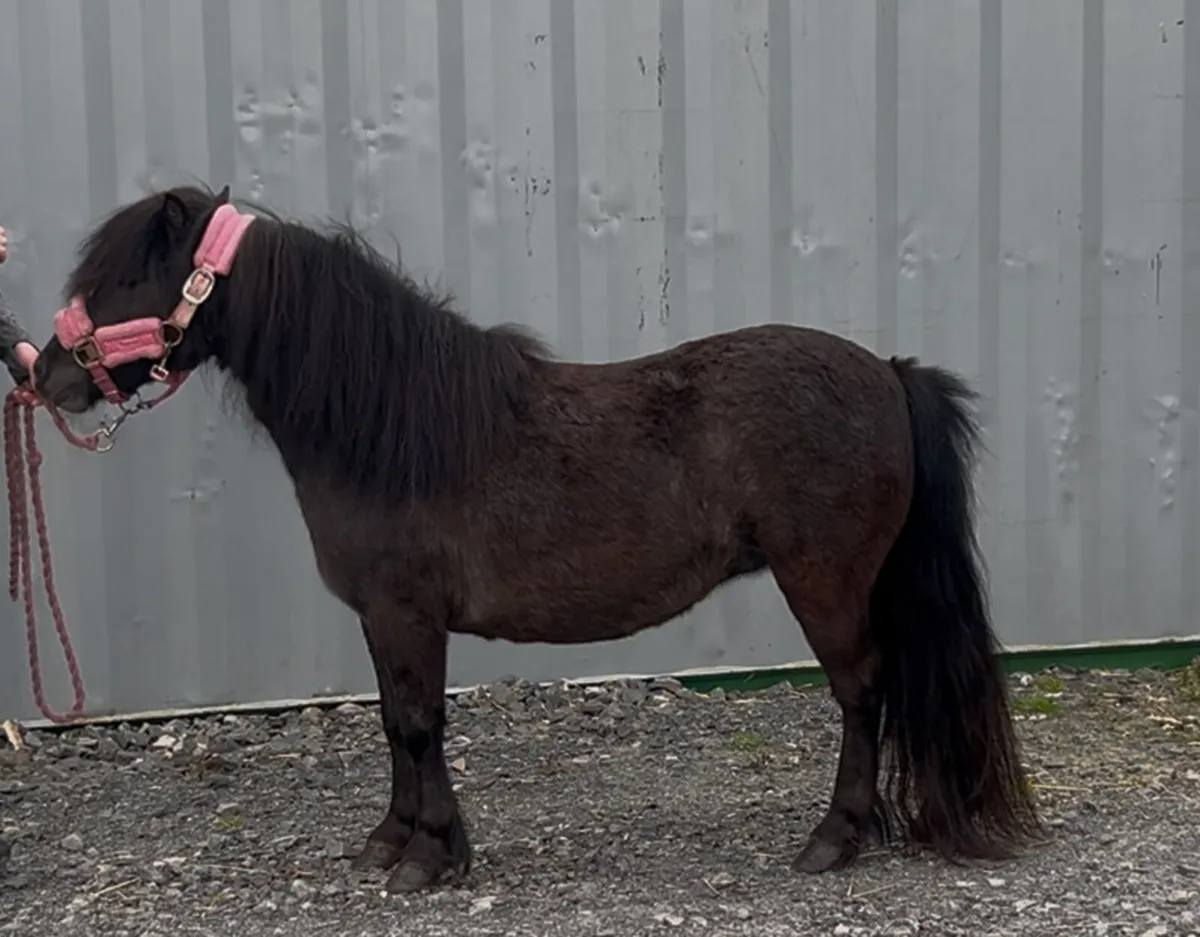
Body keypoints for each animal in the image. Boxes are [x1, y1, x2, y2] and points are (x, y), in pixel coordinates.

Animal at [33, 185, 1040, 894]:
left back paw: (834, 837)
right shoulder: (379, 617)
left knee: (861, 691)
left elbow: (419, 722)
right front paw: (393, 838)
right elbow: (394, 724)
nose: (47, 378)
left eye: (128, 279)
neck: (389, 427)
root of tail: (887, 372)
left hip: (823, 581)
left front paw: (431, 856)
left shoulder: (406, 610)